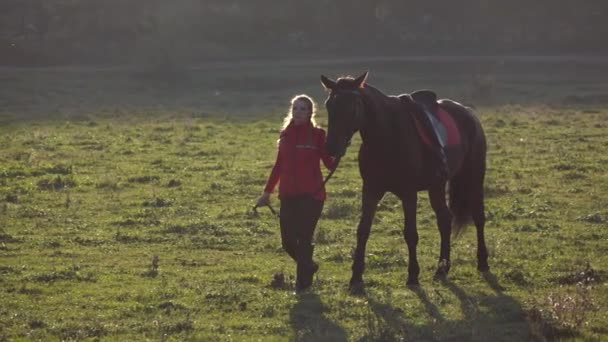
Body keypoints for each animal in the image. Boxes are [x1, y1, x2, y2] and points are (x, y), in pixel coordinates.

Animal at [318, 72, 490, 292]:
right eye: (329, 104)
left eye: (353, 106)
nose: (332, 147)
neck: (387, 136)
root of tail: (469, 113)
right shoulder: (370, 190)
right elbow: (363, 230)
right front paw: (356, 277)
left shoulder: (409, 194)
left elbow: (410, 234)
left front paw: (413, 275)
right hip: (436, 185)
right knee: (445, 219)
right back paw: (442, 268)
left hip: (474, 178)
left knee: (478, 217)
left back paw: (482, 262)